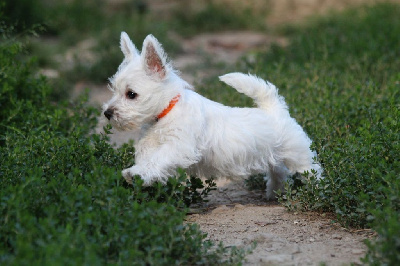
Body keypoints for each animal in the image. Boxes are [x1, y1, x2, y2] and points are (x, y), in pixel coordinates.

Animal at [103, 32, 322, 200]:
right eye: (113, 89)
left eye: (131, 94)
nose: (107, 113)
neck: (165, 113)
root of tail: (275, 109)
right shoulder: (150, 145)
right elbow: (149, 160)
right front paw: (138, 174)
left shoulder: (178, 146)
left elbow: (158, 159)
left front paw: (136, 173)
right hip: (274, 159)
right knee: (280, 173)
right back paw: (275, 194)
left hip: (299, 157)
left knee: (313, 171)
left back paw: (319, 192)